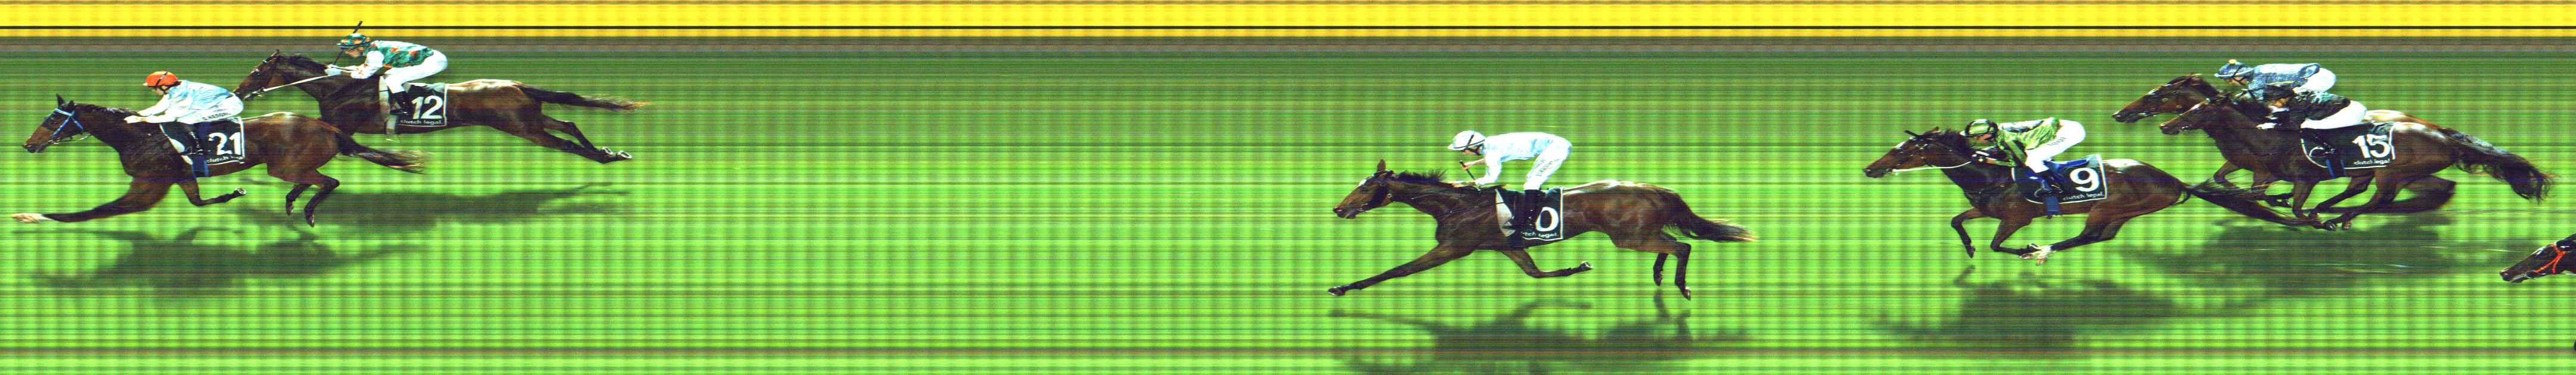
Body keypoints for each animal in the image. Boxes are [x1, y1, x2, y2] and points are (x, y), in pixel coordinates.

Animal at [17, 96, 423, 226]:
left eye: (52, 120)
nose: (28, 144)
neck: (138, 137)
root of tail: (327, 126)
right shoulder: (178, 178)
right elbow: (198, 202)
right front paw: (234, 194)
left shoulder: (147, 187)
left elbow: (95, 211)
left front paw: (30, 215)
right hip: (287, 166)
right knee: (313, 179)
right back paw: (292, 203)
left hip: (284, 165)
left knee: (329, 181)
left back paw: (306, 210)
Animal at [233, 52, 644, 164]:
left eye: (257, 71)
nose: (240, 91)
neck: (341, 87)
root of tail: (514, 84)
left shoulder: (344, 127)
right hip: (530, 117)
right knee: (569, 124)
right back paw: (611, 152)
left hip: (522, 128)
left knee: (565, 142)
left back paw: (603, 157)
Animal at [1327, 160, 1754, 298]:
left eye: (1365, 187)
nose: (1338, 208)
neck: (1458, 205)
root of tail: (1658, 189)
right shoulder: (1509, 247)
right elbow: (1537, 274)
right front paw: (1578, 267)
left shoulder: (1453, 248)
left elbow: (1396, 271)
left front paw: (1344, 286)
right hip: (1635, 235)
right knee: (1670, 244)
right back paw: (1659, 276)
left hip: (1628, 237)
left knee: (1681, 246)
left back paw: (1680, 285)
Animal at [1862, 128, 2307, 262]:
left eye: (1906, 151)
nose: (1870, 168)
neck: (1991, 173)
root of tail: (2174, 181)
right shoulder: (1986, 210)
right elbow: (1958, 221)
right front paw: (1968, 247)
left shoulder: (2017, 217)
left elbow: (1997, 245)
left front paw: (2024, 249)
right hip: (2124, 211)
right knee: (2101, 237)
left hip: (2111, 205)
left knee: (2089, 235)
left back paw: (2043, 250)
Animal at [2157, 95, 2547, 230]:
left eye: (2198, 108)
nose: (2165, 125)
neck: (2268, 135)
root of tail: (2445, 136)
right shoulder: (2261, 171)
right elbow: (2243, 188)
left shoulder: (2304, 178)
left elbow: (2292, 206)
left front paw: (2302, 216)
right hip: (2382, 171)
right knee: (2364, 192)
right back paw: (2332, 213)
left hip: (2395, 171)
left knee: (2380, 199)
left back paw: (2335, 217)